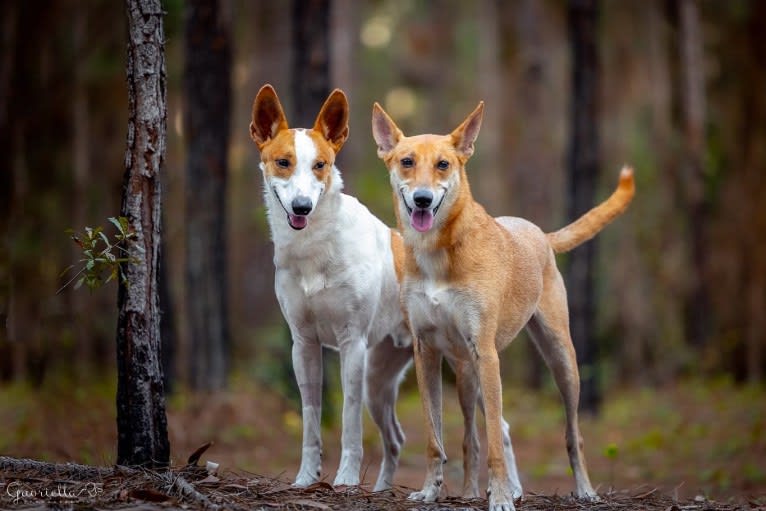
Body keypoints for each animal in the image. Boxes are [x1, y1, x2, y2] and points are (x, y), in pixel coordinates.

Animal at [249, 85, 412, 492]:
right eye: (283, 162)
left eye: (320, 165)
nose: (302, 207)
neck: (315, 248)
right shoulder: (304, 343)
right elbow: (311, 418)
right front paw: (306, 477)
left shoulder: (351, 343)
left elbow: (349, 421)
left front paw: (347, 479)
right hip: (380, 378)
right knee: (396, 438)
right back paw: (383, 489)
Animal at [374, 101, 636, 511]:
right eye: (406, 161)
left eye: (443, 164)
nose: (422, 200)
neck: (440, 251)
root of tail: (540, 234)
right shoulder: (426, 352)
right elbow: (435, 438)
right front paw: (431, 490)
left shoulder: (486, 353)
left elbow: (496, 440)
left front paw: (498, 497)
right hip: (466, 373)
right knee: (471, 437)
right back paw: (470, 491)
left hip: (560, 360)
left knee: (571, 433)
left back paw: (584, 490)